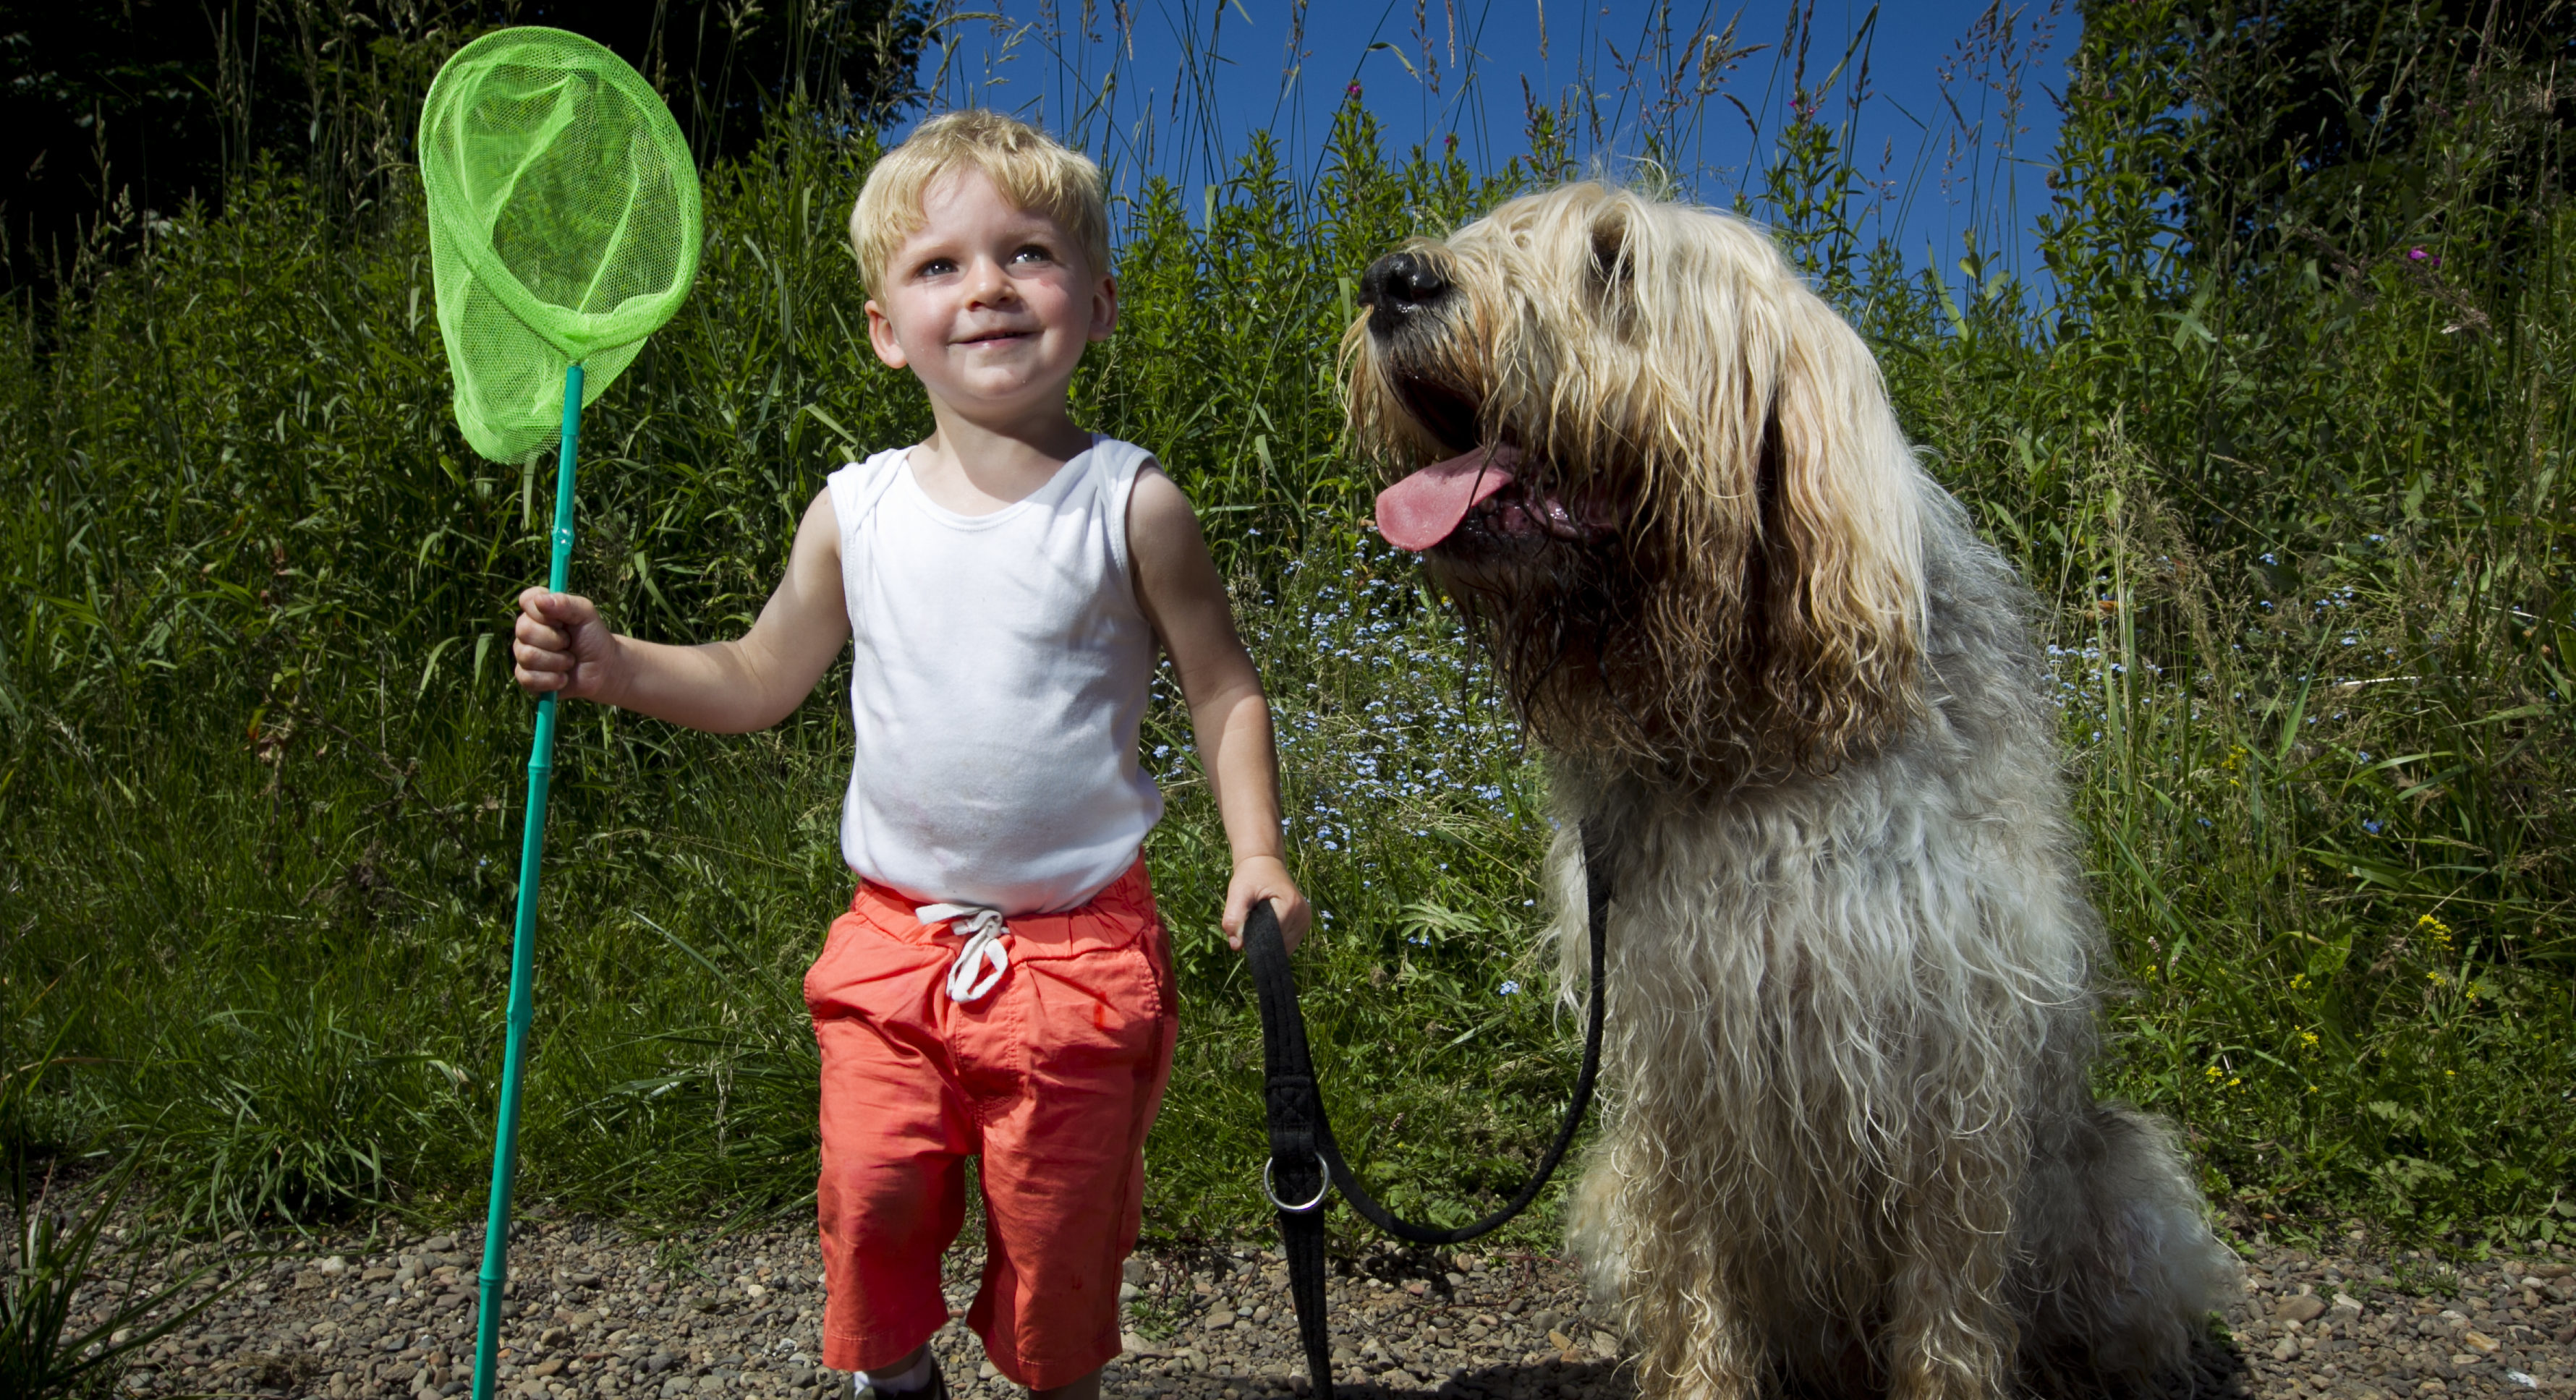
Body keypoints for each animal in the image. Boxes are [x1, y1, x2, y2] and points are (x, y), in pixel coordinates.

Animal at [1349, 185, 2235, 1400]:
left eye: (1611, 260)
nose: (1391, 282)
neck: (1750, 732)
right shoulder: (1691, 1066)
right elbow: (1705, 1293)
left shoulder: (1949, 1075)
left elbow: (1949, 1312)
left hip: (2120, 1190)